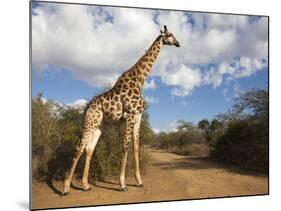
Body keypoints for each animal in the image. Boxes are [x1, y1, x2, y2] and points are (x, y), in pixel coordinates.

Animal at [62, 25, 179, 195]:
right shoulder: (130, 115)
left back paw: (85, 185)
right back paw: (65, 188)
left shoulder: (138, 116)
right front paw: (122, 184)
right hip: (90, 121)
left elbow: (136, 147)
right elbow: (125, 146)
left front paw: (139, 182)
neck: (140, 80)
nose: (178, 43)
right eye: (169, 35)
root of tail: (87, 107)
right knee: (79, 148)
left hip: (99, 125)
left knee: (89, 149)